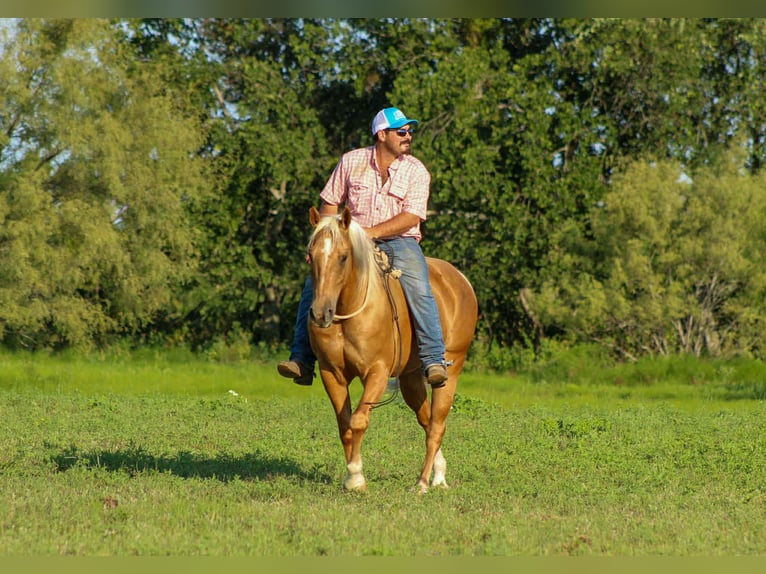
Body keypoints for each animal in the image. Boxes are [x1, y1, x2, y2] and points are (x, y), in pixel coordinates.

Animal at [306, 206, 478, 493]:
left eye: (343, 257)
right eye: (310, 256)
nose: (320, 314)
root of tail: (461, 279)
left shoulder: (377, 372)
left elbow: (358, 420)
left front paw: (355, 476)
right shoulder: (332, 373)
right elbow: (344, 424)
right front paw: (353, 477)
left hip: (450, 371)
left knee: (437, 426)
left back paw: (422, 483)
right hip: (410, 378)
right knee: (426, 419)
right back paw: (439, 474)